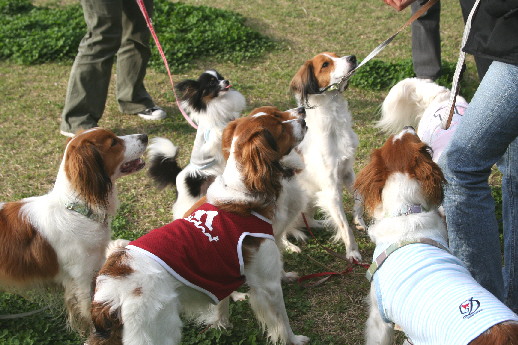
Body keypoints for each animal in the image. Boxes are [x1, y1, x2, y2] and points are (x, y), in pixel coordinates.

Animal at [290, 51, 368, 260]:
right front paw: (353, 252)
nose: (352, 57)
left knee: (308, 220)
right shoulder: (331, 189)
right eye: (325, 64)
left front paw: (359, 220)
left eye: (337, 55)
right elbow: (344, 226)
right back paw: (290, 245)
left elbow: (359, 198)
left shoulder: (347, 171)